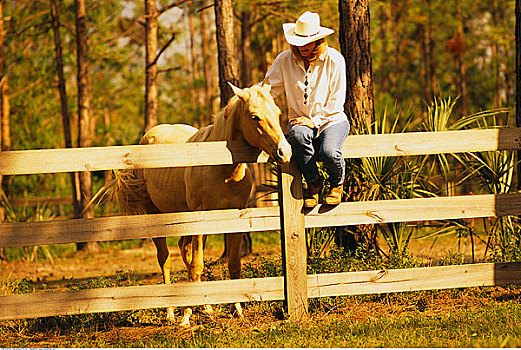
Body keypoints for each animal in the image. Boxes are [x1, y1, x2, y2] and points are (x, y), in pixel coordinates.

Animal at [99, 83, 290, 326]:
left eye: (277, 112)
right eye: (254, 116)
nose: (285, 152)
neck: (222, 169)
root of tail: (149, 137)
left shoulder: (233, 220)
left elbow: (232, 264)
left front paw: (236, 309)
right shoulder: (200, 218)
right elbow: (196, 266)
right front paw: (186, 316)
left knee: (185, 250)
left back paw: (206, 307)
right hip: (158, 217)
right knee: (165, 259)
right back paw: (171, 312)